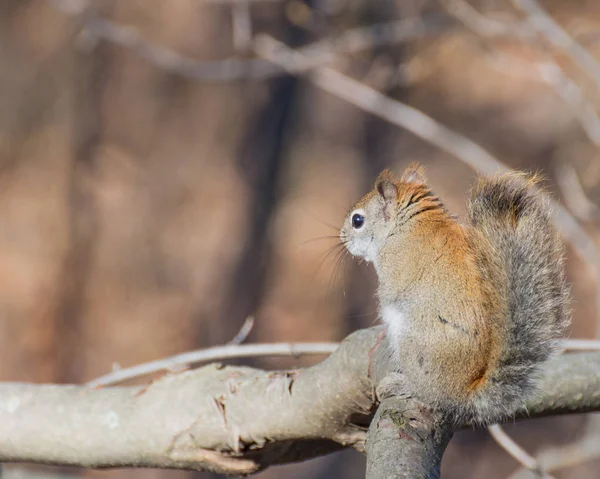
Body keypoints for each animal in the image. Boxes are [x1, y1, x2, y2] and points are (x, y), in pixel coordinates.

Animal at [340, 163, 568, 426]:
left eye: (358, 220)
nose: (341, 237)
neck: (409, 223)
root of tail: (463, 393)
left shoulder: (394, 267)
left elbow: (388, 296)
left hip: (415, 344)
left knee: (430, 394)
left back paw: (402, 385)